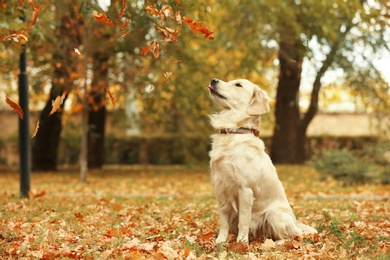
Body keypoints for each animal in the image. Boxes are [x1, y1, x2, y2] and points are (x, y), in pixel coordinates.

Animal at [207, 77, 316, 244]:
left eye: (238, 85)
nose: (213, 80)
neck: (235, 132)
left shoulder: (244, 189)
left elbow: (243, 221)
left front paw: (241, 243)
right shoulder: (220, 187)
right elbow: (223, 221)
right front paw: (220, 241)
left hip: (273, 215)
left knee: (292, 236)